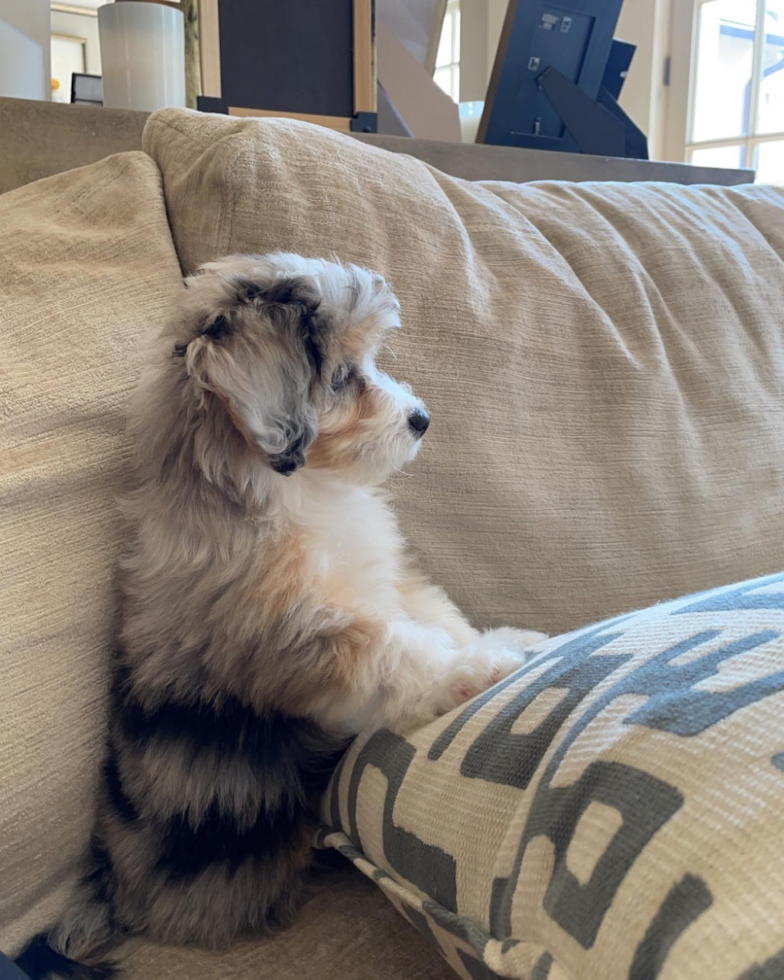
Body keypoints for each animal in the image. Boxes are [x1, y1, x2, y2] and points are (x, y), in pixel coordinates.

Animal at [16, 256, 544, 976]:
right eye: (343, 377)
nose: (423, 418)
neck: (303, 491)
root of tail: (112, 891)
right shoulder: (297, 634)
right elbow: (397, 648)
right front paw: (479, 666)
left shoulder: (388, 579)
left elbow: (432, 612)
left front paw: (497, 640)